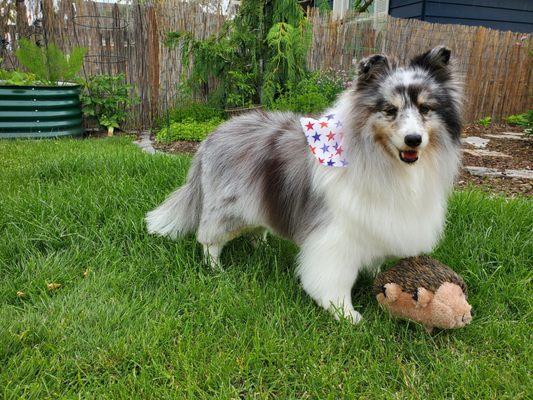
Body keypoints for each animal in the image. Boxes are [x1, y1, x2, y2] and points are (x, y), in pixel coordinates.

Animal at [147, 47, 462, 324]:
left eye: (425, 108)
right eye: (390, 110)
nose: (413, 140)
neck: (380, 159)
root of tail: (212, 135)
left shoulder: (376, 222)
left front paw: (378, 277)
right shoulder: (336, 236)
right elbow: (335, 279)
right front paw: (345, 314)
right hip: (227, 207)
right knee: (209, 239)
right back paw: (216, 269)